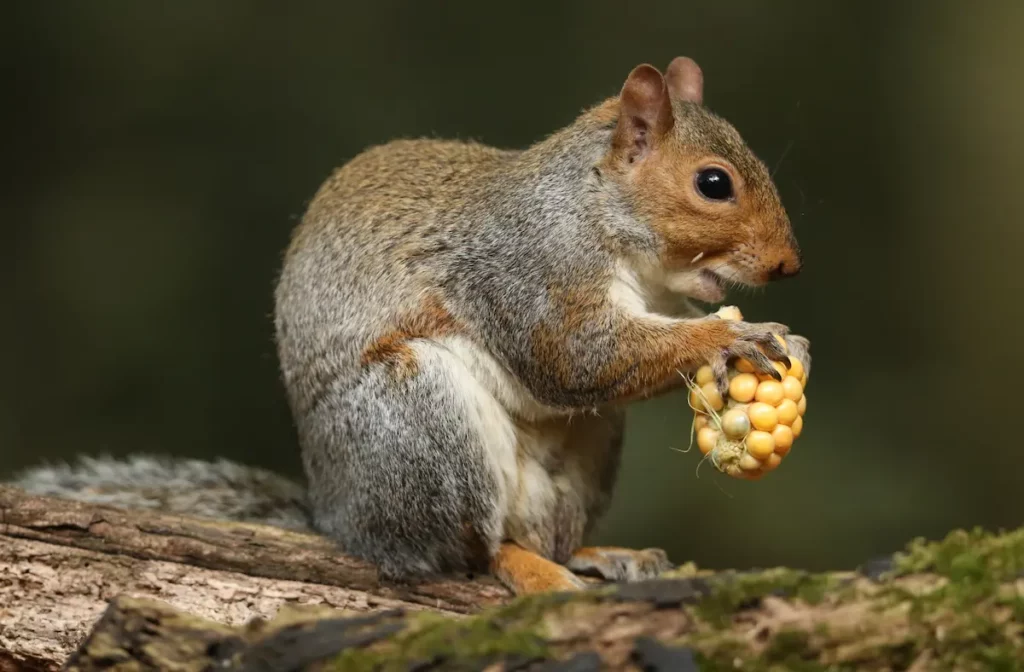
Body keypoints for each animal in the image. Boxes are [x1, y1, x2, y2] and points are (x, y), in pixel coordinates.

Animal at [6, 56, 806, 594]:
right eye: (713, 183)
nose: (789, 265)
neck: (602, 213)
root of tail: (340, 516)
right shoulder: (528, 268)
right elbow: (573, 357)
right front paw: (729, 338)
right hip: (417, 421)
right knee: (470, 552)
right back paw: (534, 572)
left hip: (588, 446)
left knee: (542, 530)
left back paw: (596, 556)